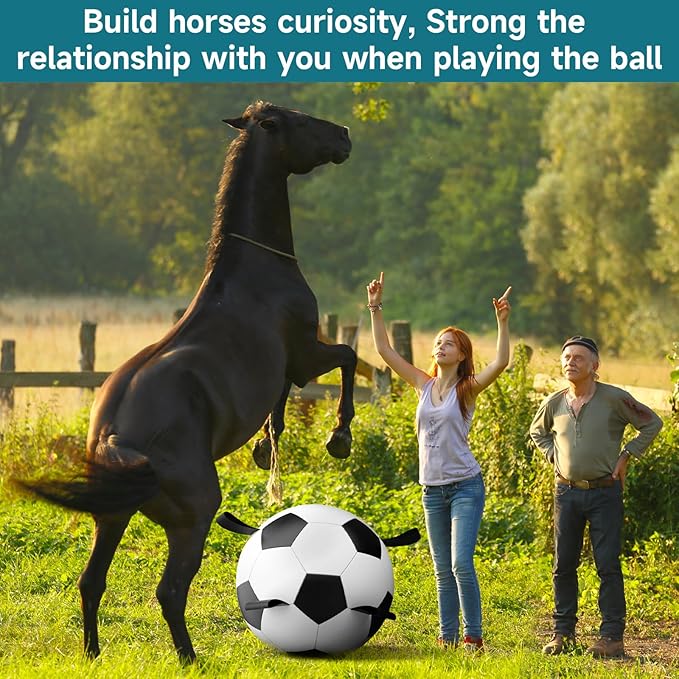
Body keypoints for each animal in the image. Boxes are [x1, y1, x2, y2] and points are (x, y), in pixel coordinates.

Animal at [17, 101, 356, 663]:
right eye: (300, 120)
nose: (345, 136)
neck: (255, 272)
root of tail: (116, 438)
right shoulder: (307, 355)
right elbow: (349, 359)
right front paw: (339, 436)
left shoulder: (287, 369)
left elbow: (281, 404)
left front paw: (266, 449)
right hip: (192, 518)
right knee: (170, 591)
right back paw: (190, 658)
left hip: (111, 518)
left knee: (91, 583)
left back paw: (93, 653)